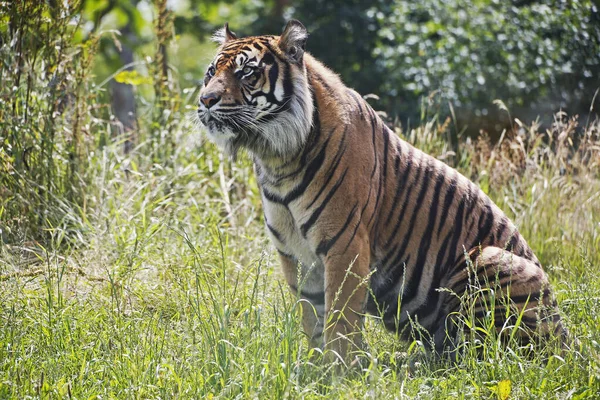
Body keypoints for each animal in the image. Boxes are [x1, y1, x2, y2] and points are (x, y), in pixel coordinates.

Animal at [197, 19, 568, 366]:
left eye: (247, 72)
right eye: (211, 71)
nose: (205, 100)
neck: (277, 158)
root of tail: (569, 342)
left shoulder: (344, 244)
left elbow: (340, 317)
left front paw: (340, 370)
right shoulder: (295, 253)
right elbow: (312, 317)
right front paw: (316, 368)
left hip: (487, 259)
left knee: (489, 354)